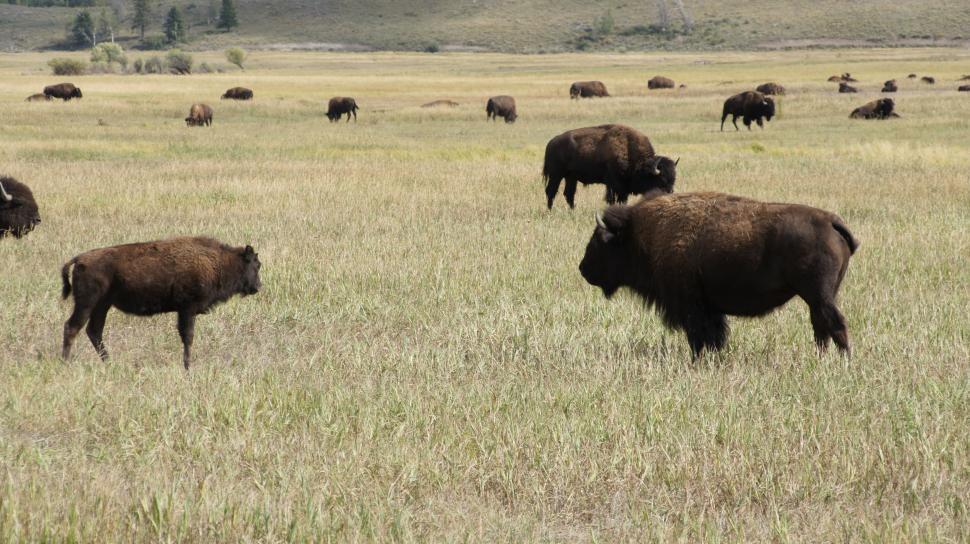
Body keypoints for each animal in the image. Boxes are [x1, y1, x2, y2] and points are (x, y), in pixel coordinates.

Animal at [61, 237, 262, 369]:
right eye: (256, 264)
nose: (258, 286)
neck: (218, 261)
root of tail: (80, 259)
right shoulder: (187, 310)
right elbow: (188, 337)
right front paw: (187, 367)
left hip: (102, 306)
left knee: (94, 331)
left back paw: (110, 363)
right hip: (87, 303)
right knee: (72, 327)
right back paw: (65, 362)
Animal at [543, 124, 677, 209]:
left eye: (673, 180)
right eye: (661, 179)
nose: (670, 193)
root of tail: (551, 142)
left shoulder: (622, 187)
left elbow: (622, 199)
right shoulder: (614, 184)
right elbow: (613, 199)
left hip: (571, 177)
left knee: (569, 194)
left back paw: (572, 210)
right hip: (556, 175)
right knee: (551, 191)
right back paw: (550, 210)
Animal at [579, 191, 858, 359]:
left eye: (599, 241)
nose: (583, 269)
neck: (643, 235)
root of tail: (831, 221)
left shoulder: (692, 306)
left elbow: (699, 335)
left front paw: (698, 360)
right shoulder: (709, 308)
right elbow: (713, 334)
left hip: (818, 295)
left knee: (834, 323)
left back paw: (844, 359)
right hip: (819, 297)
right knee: (820, 326)